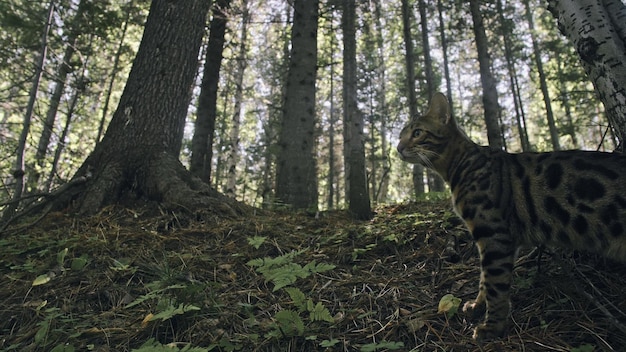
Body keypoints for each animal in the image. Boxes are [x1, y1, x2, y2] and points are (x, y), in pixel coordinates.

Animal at [394, 92, 624, 340]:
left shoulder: (494, 232)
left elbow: (494, 283)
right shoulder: (497, 237)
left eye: (417, 133)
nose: (397, 148)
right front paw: (478, 306)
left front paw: (492, 327)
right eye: (400, 135)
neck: (460, 165)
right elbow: (484, 279)